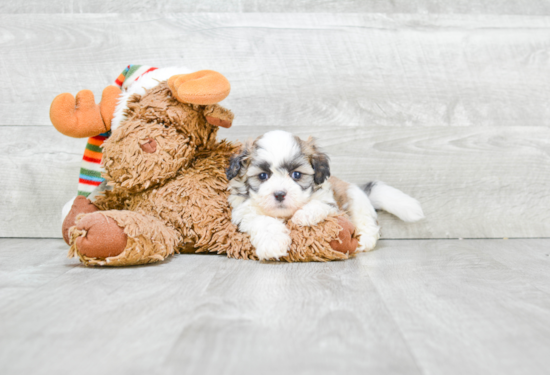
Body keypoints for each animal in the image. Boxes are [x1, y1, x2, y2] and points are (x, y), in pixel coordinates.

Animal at [226, 131, 424, 262]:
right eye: (262, 176)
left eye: (296, 175)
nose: (280, 194)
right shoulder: (243, 212)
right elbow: (263, 221)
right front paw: (273, 244)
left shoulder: (330, 203)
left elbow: (319, 204)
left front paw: (304, 215)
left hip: (357, 202)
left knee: (367, 223)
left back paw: (364, 241)